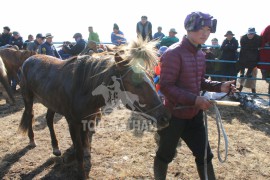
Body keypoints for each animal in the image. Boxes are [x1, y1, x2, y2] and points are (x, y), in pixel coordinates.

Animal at [19, 38, 170, 179]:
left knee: (49, 120)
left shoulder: (89, 117)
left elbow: (85, 139)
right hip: (28, 97)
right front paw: (82, 173)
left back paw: (55, 147)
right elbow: (79, 151)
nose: (165, 117)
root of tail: (29, 59)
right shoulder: (72, 122)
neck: (83, 88)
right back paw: (32, 140)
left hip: (51, 102)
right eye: (137, 84)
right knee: (30, 115)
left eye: (152, 78)